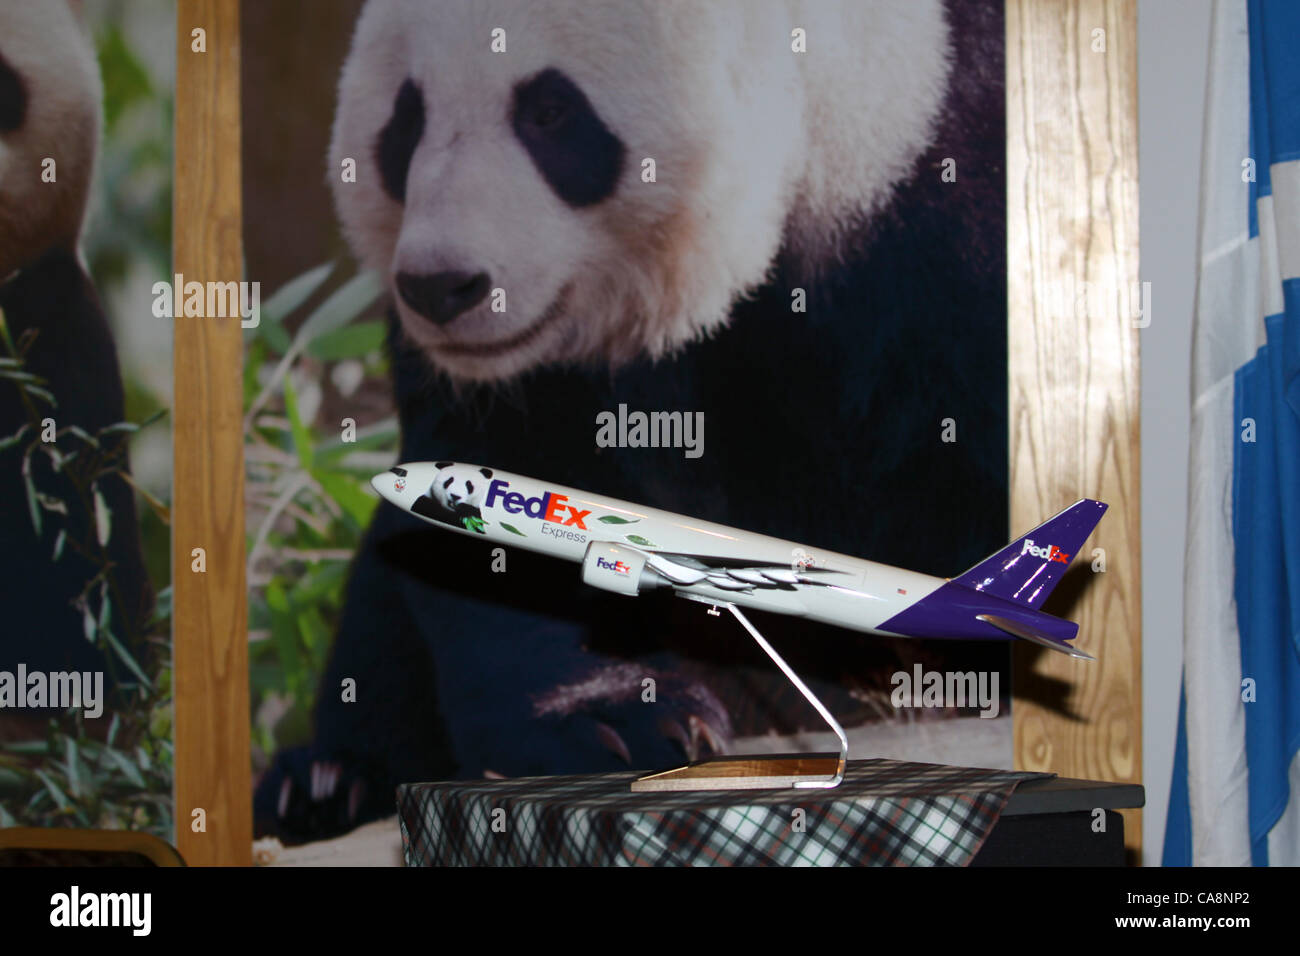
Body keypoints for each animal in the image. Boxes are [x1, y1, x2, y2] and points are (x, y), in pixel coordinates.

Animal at [256, 0, 1009, 841]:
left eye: (549, 112)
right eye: (405, 122)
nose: (441, 287)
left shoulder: (943, 238)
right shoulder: (507, 372)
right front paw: (616, 719)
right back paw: (323, 780)